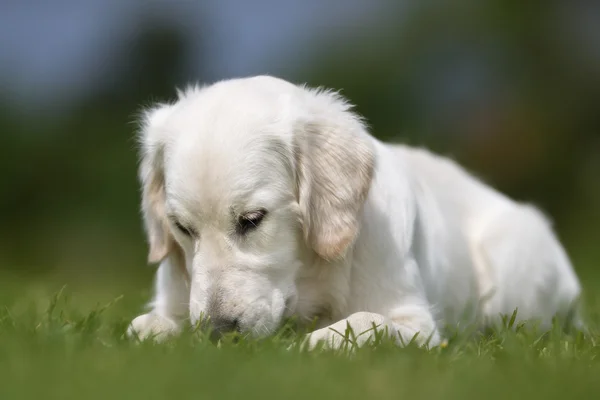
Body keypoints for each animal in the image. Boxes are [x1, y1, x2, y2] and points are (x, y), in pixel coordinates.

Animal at [126, 76, 580, 350]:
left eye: (252, 219)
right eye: (182, 228)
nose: (220, 334)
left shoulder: (418, 323)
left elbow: (364, 321)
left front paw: (314, 343)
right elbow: (144, 326)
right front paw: (162, 331)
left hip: (514, 256)